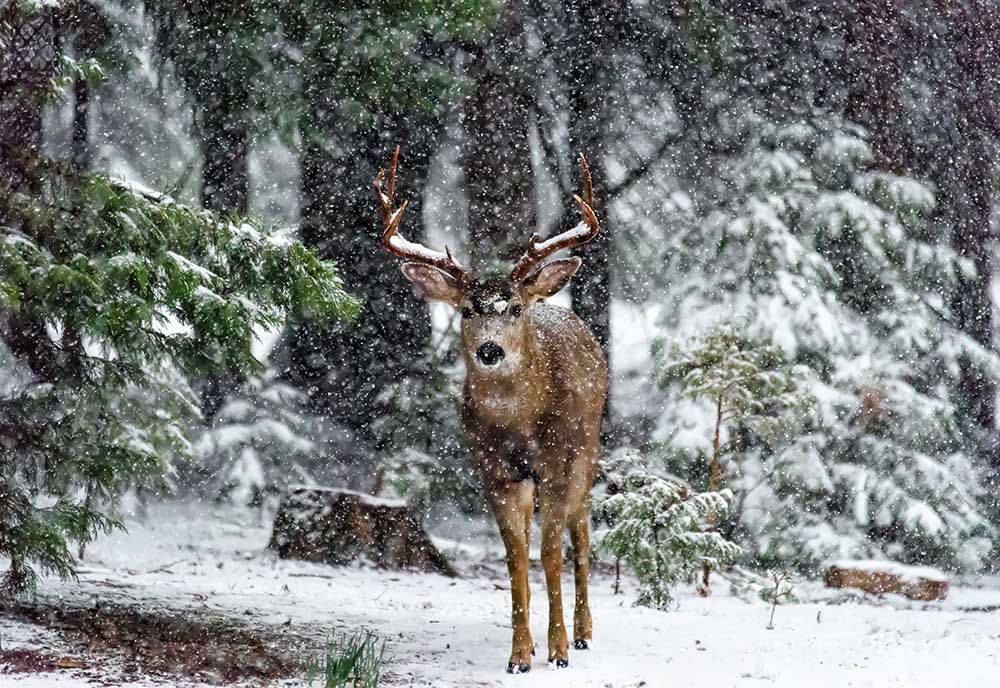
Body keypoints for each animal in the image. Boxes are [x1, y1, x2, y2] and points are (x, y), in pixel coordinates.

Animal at [376, 146, 608, 672]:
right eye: (467, 310)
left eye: (515, 309)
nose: (489, 350)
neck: (519, 425)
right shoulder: (494, 469)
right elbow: (515, 556)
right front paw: (520, 654)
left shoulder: (557, 461)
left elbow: (551, 553)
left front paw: (559, 649)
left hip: (587, 449)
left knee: (582, 536)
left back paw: (585, 632)